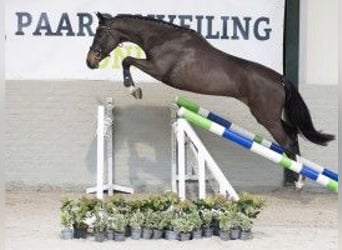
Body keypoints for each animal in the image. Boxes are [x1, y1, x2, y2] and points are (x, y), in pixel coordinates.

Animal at [85, 11, 334, 188]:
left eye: (99, 33)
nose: (90, 61)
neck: (162, 38)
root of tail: (281, 79)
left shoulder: (158, 70)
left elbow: (127, 60)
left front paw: (134, 90)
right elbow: (128, 60)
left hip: (266, 117)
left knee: (287, 142)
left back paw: (299, 181)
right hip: (269, 116)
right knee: (292, 133)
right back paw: (298, 176)